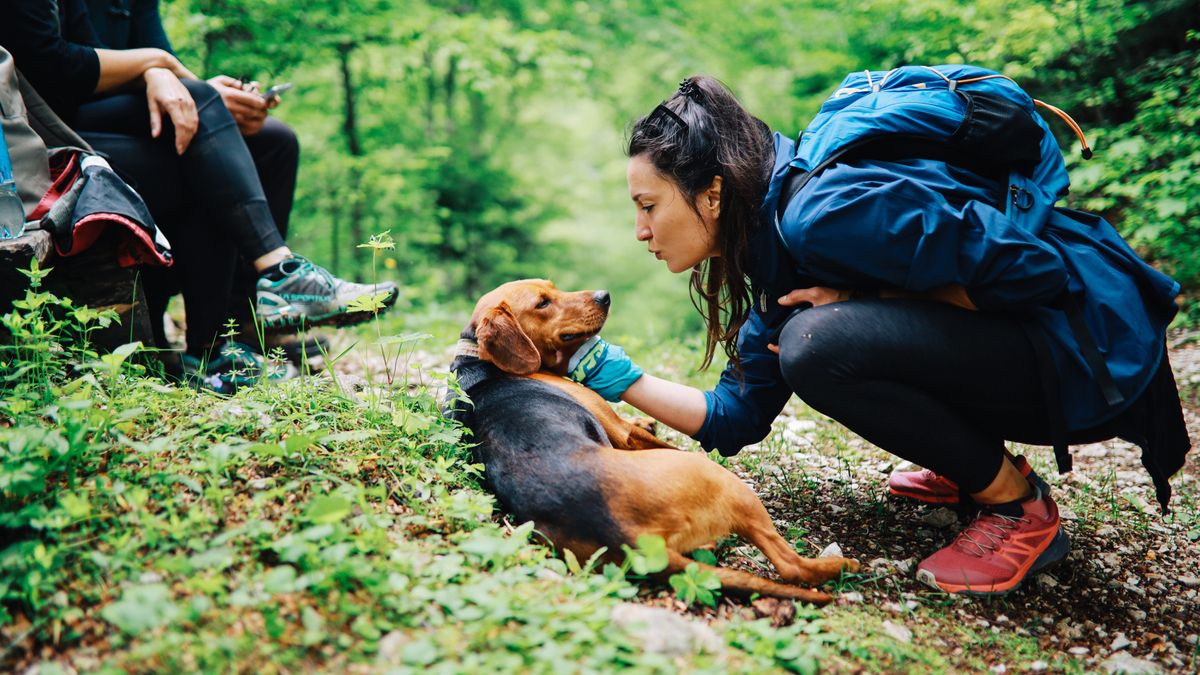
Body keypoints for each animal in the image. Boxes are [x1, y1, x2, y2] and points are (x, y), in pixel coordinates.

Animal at [446, 276, 859, 600]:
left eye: (553, 287)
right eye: (542, 303)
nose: (604, 295)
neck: (480, 363)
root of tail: (627, 536)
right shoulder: (619, 431)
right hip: (723, 483)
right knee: (791, 566)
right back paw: (841, 564)